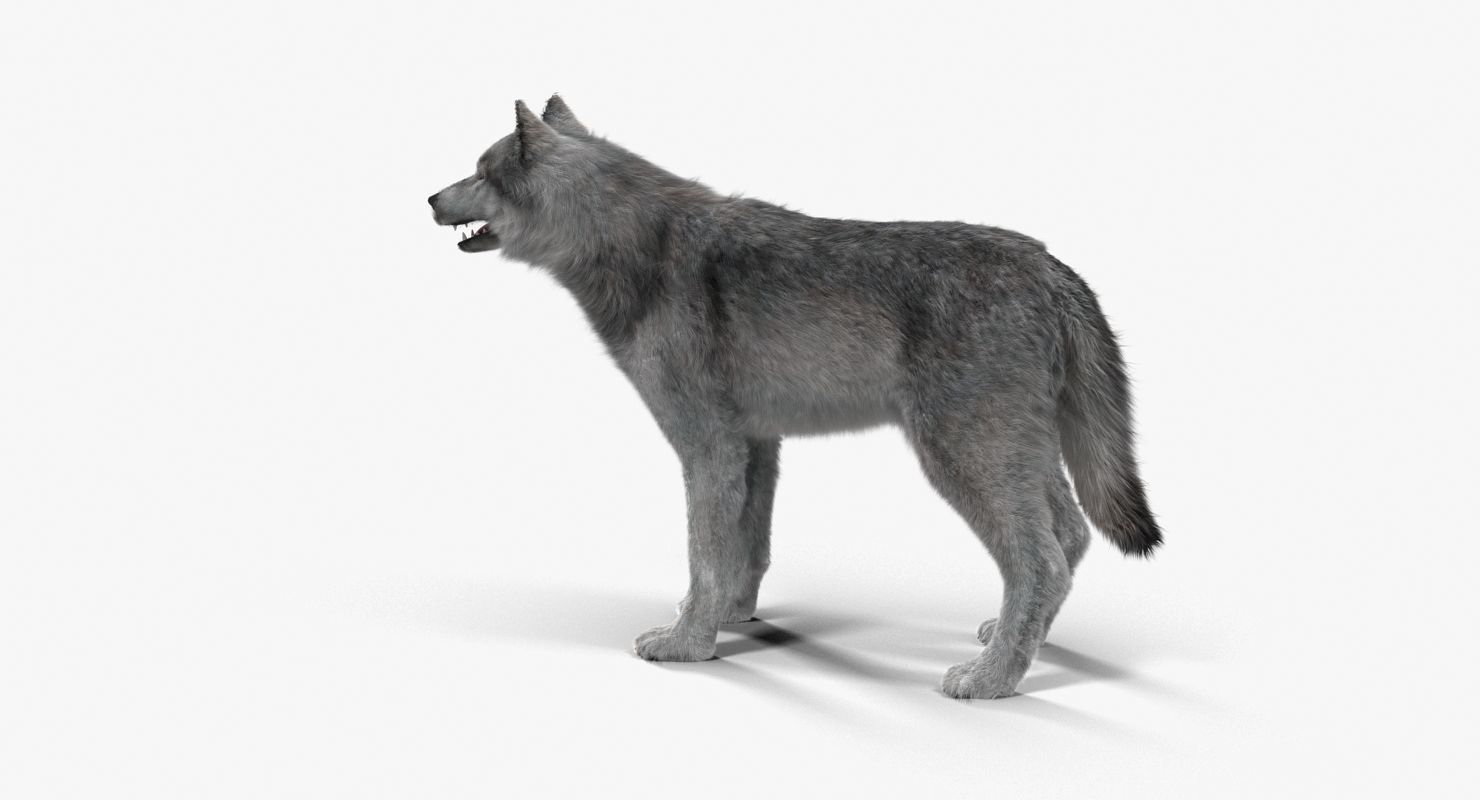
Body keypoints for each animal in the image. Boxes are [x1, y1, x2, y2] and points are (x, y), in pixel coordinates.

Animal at [428, 96, 1162, 699]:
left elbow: (704, 556)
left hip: (964, 459)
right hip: (1015, 455)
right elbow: (742, 552)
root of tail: (1051, 266)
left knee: (1041, 560)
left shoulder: (707, 448)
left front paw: (685, 645)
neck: (637, 248)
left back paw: (991, 681)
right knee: (1069, 536)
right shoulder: (755, 444)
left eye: (480, 172)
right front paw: (725, 621)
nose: (430, 197)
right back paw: (1013, 644)